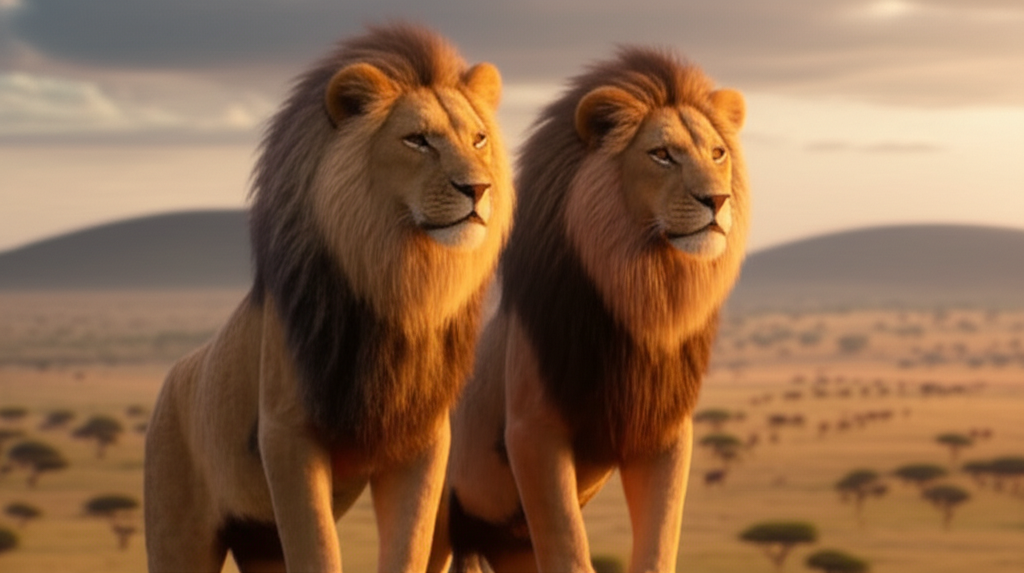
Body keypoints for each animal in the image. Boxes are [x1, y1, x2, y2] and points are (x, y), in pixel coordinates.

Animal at [143, 25, 513, 573]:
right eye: (417, 140)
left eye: (478, 139)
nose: (479, 188)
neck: (402, 289)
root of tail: (174, 375)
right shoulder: (287, 436)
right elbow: (316, 548)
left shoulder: (422, 441)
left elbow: (409, 545)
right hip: (177, 524)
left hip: (259, 538)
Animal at [427, 48, 749, 573]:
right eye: (662, 154)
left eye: (718, 153)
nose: (718, 200)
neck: (644, 297)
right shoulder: (532, 433)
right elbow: (570, 550)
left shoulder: (664, 433)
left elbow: (658, 544)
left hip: (508, 540)